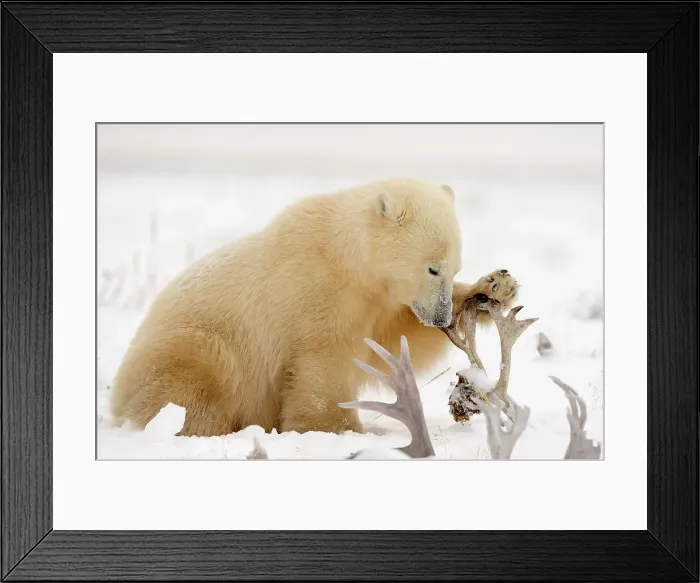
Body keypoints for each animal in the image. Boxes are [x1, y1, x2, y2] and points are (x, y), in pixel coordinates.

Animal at [108, 178, 518, 437]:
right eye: (432, 267)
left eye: (455, 268)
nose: (442, 316)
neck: (343, 254)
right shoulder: (318, 291)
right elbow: (324, 362)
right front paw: (341, 428)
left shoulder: (376, 302)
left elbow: (398, 337)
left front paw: (496, 288)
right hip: (189, 345)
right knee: (202, 379)